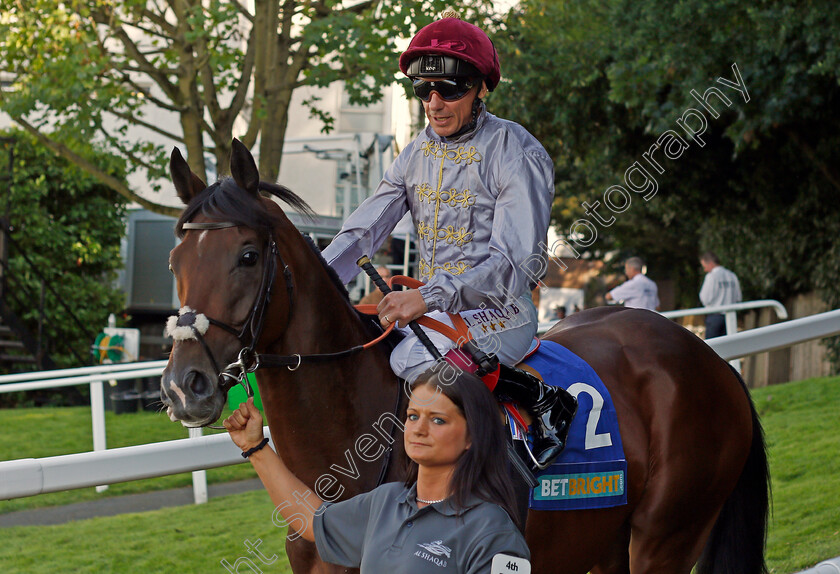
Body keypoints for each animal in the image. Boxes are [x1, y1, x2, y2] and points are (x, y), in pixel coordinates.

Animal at [159, 141, 768, 574]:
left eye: (247, 255)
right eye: (173, 260)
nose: (184, 385)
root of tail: (710, 360)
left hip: (667, 537)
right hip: (605, 544)